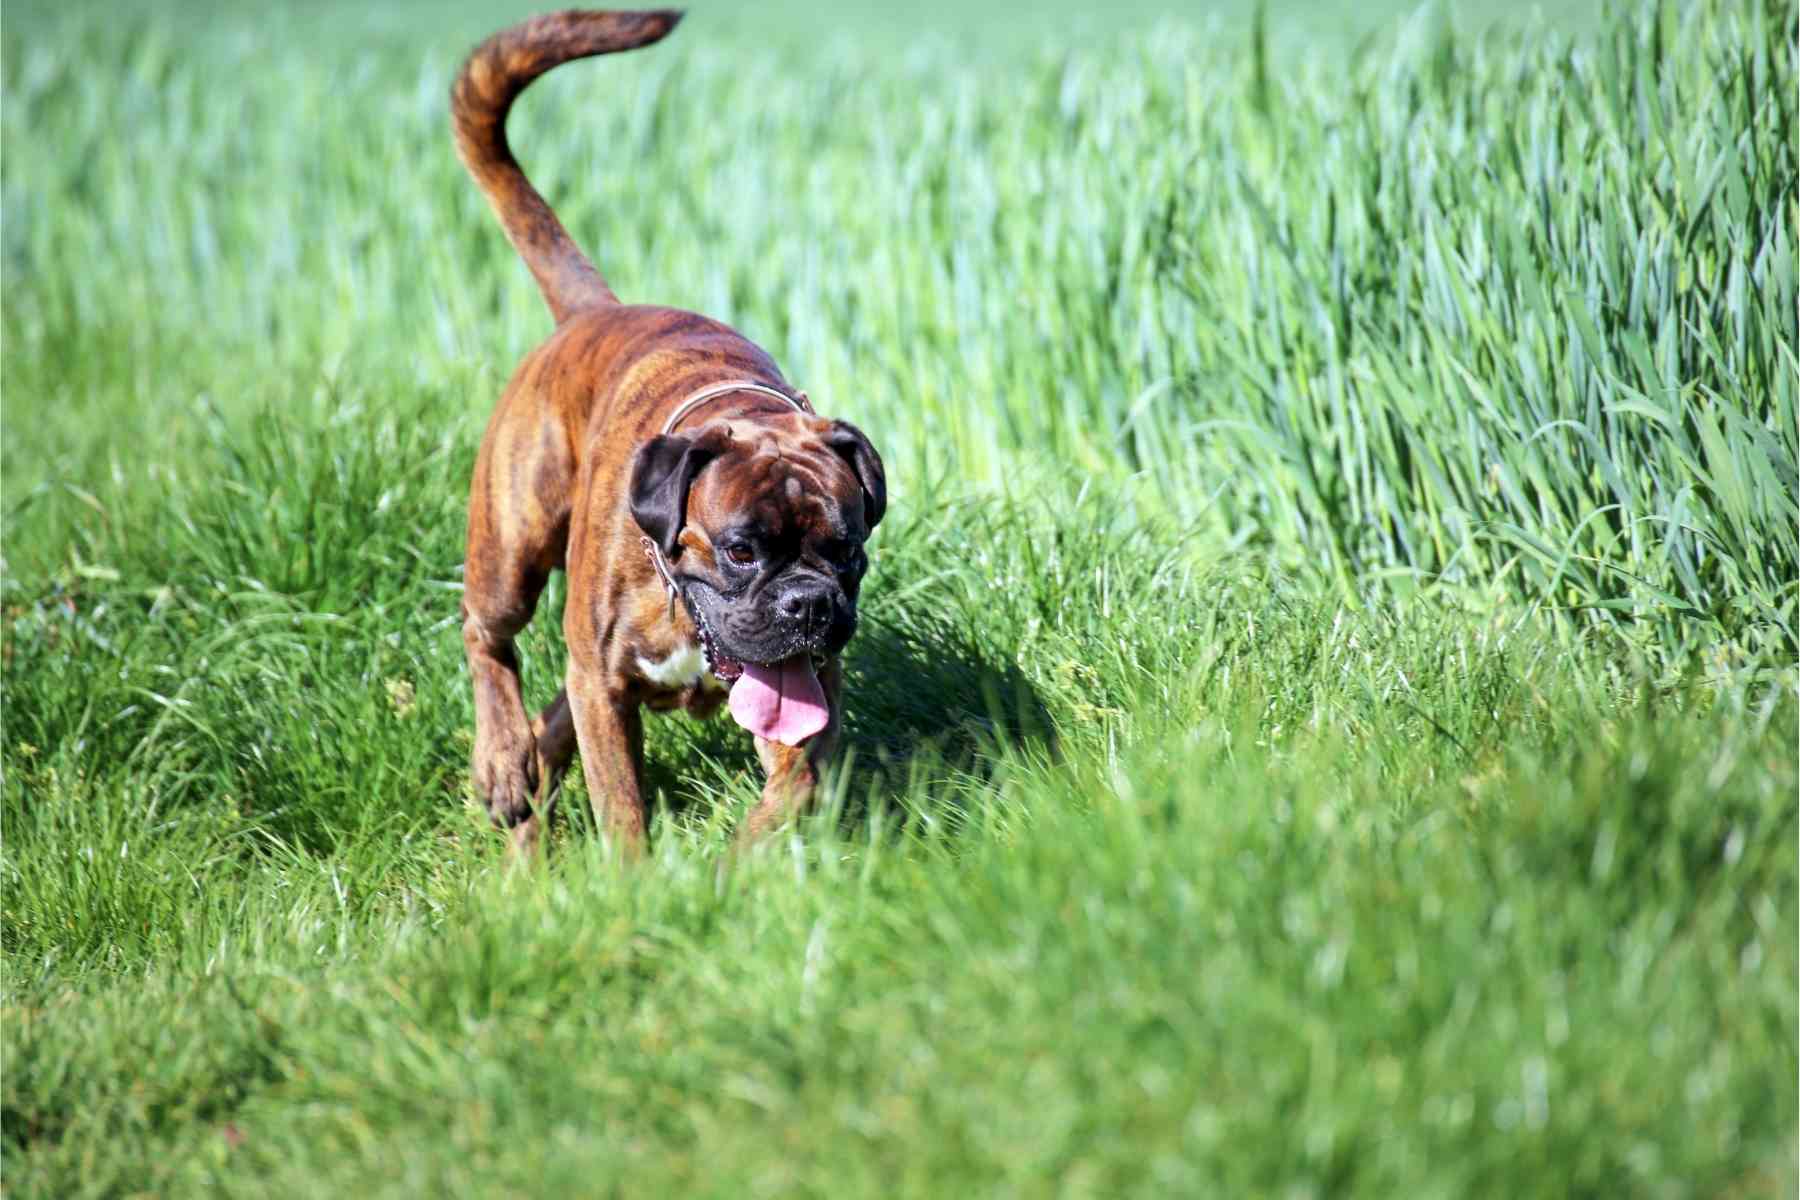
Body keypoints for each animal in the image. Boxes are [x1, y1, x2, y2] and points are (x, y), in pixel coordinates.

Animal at [450, 7, 885, 852]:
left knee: (551, 724)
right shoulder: (603, 684)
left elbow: (790, 790)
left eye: (845, 548)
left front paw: (736, 868)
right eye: (741, 550)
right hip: (513, 546)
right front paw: (637, 880)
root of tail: (592, 312)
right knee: (487, 636)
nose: (808, 605)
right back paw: (501, 758)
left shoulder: (805, 704)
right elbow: (622, 808)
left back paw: (524, 802)